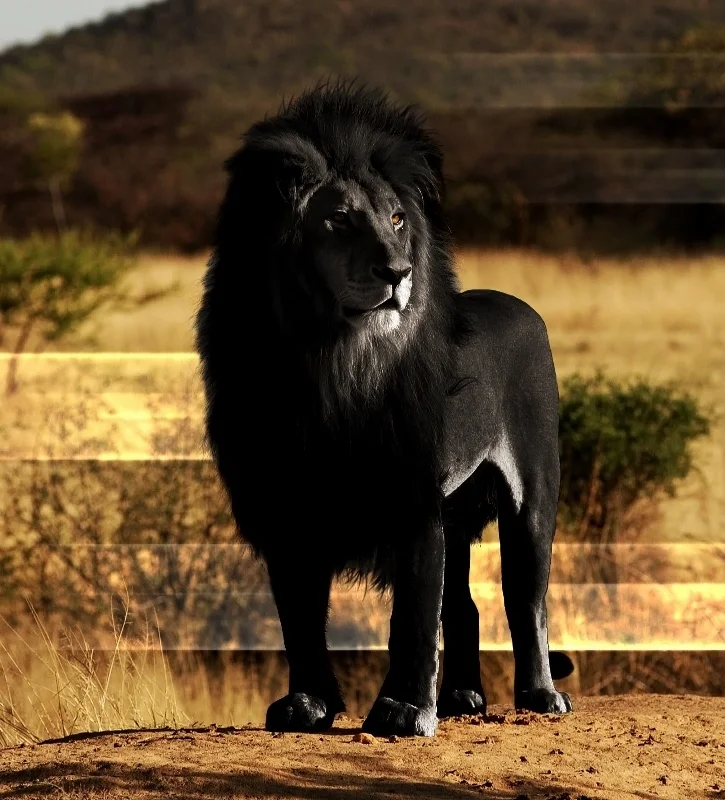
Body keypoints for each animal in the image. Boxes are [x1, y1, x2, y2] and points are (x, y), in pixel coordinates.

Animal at [195, 80, 574, 738]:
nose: (399, 271)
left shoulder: (412, 497)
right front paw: (309, 705)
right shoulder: (284, 506)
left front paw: (401, 711)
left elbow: (412, 617)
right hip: (456, 511)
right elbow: (299, 618)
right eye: (339, 219)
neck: (329, 361)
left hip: (531, 495)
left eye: (398, 219)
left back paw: (539, 695)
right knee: (465, 606)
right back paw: (463, 699)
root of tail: (520, 305)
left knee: (527, 598)